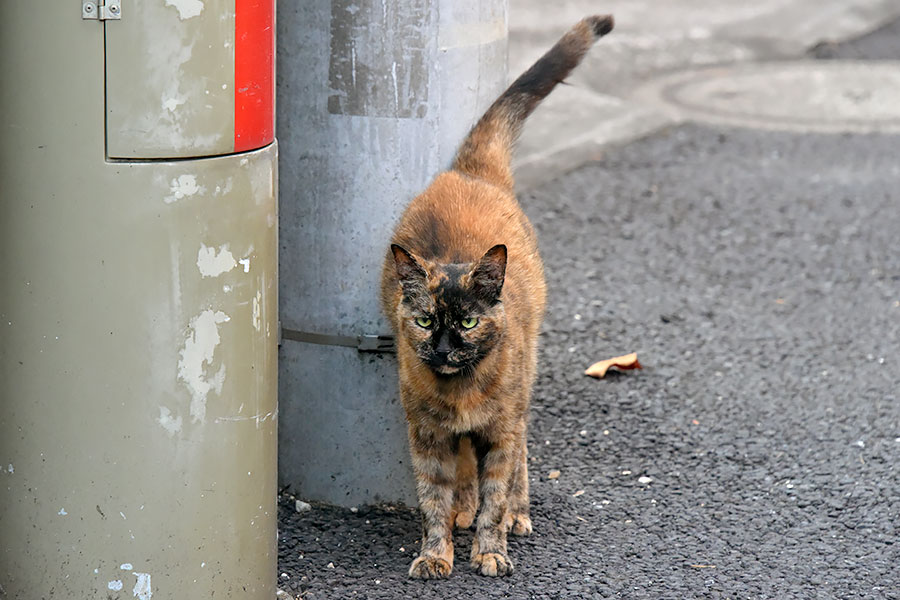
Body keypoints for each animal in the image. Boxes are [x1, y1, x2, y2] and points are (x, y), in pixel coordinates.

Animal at [380, 14, 612, 580]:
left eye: (467, 322)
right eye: (425, 321)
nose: (443, 349)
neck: (460, 391)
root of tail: (468, 171)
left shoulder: (501, 433)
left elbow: (496, 494)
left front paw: (490, 550)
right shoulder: (427, 438)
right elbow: (433, 499)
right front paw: (435, 553)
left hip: (523, 392)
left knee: (522, 456)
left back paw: (518, 516)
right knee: (465, 470)